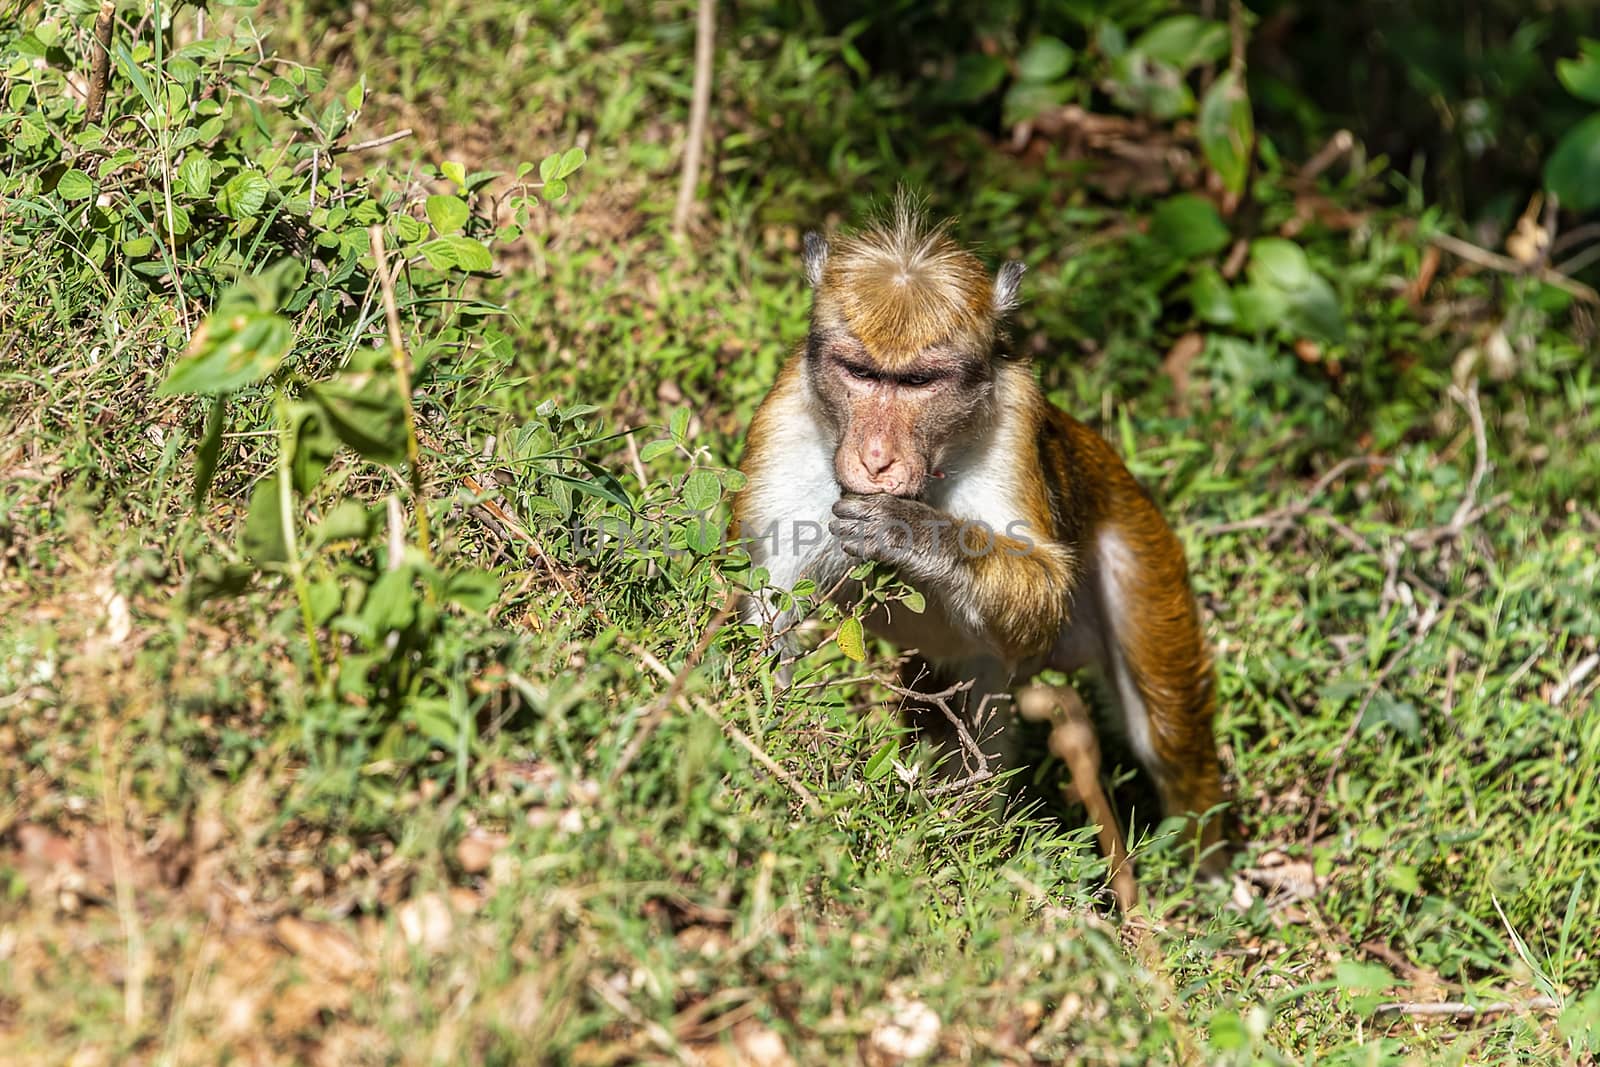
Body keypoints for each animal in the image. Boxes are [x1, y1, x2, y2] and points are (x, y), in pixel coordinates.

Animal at [732, 198, 1228, 876]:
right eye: (859, 371)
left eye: (919, 383)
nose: (877, 458)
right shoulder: (785, 419)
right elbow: (765, 609)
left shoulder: (1015, 424)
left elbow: (1044, 593)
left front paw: (912, 533)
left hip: (1142, 550)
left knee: (1162, 727)